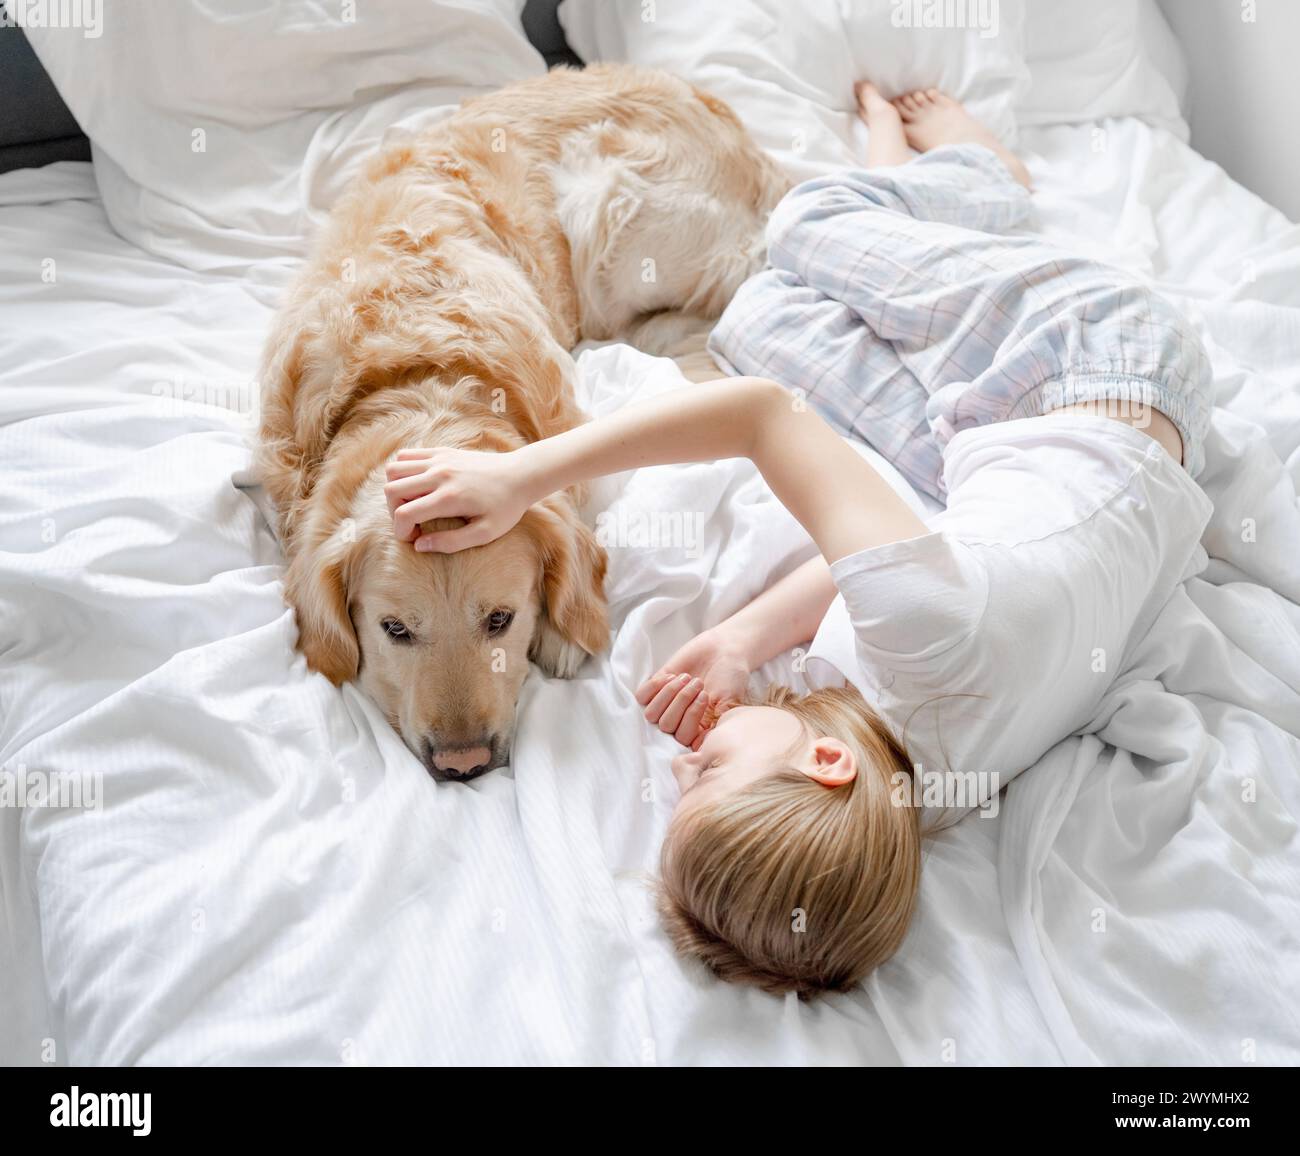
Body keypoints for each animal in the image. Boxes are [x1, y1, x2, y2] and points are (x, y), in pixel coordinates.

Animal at [250, 65, 780, 785]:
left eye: (501, 620)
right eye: (394, 630)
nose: (464, 764)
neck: (414, 382)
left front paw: (562, 633)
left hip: (610, 214)